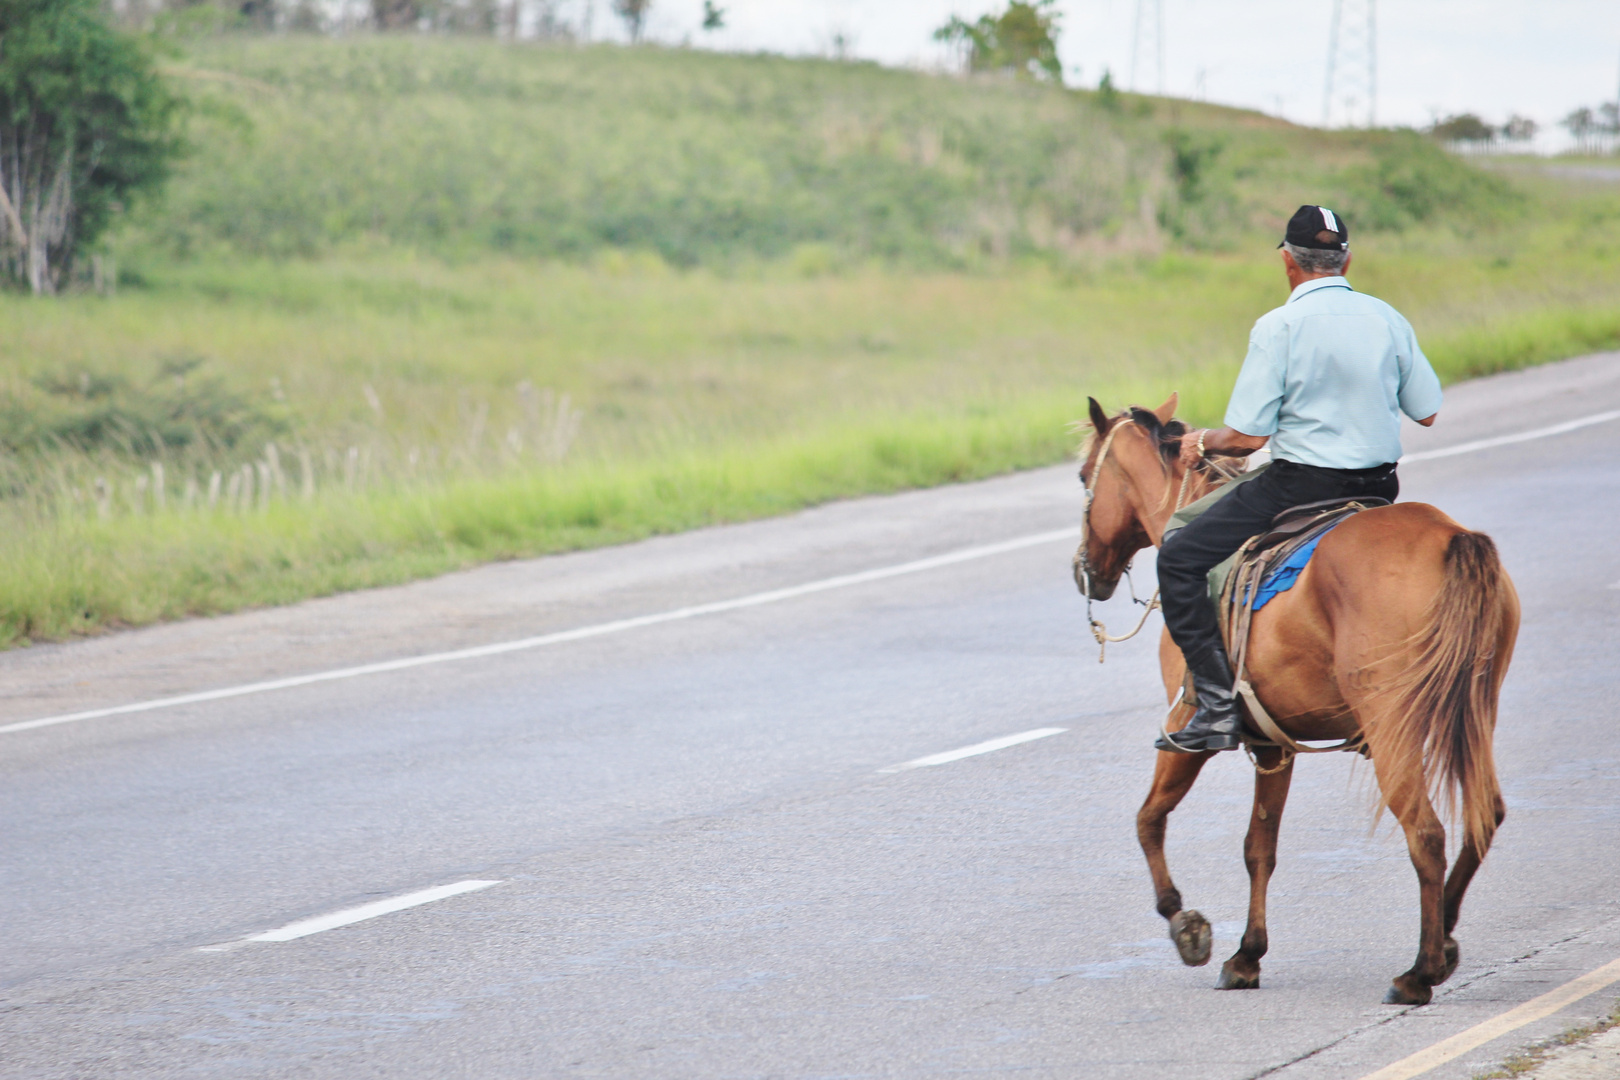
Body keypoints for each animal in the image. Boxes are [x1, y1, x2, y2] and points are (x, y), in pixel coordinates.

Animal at [1075, 395, 1516, 1003]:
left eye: (1081, 476)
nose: (1084, 570)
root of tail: (1451, 538)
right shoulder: (1272, 745)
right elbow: (1259, 847)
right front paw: (1246, 956)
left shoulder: (1188, 725)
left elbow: (1149, 818)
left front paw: (1185, 924)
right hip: (1474, 712)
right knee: (1484, 815)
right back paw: (1445, 941)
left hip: (1393, 727)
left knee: (1426, 834)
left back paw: (1418, 972)